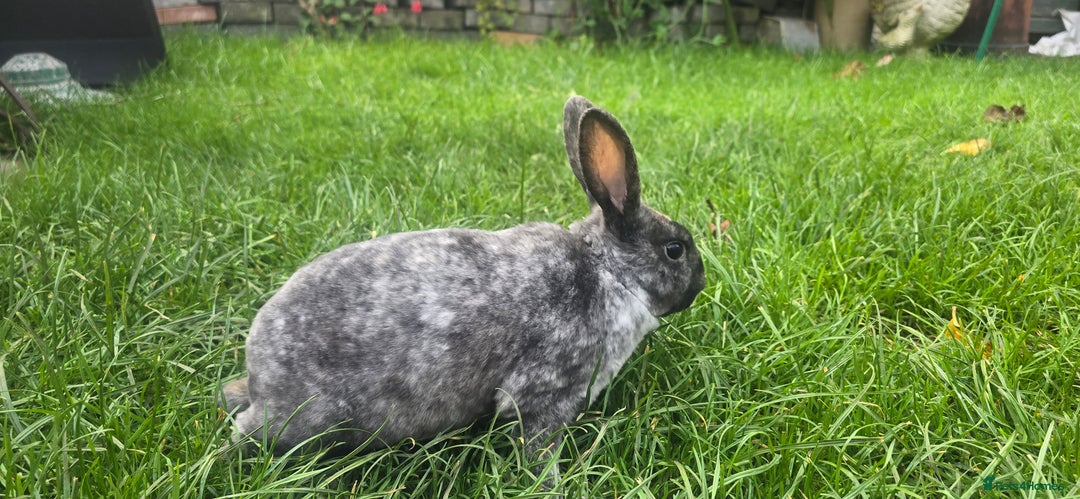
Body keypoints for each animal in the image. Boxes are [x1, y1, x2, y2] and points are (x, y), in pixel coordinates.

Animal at [221, 95, 706, 483]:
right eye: (675, 250)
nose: (700, 283)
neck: (609, 270)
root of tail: (258, 370)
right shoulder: (547, 394)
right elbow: (539, 446)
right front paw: (552, 483)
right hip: (311, 419)